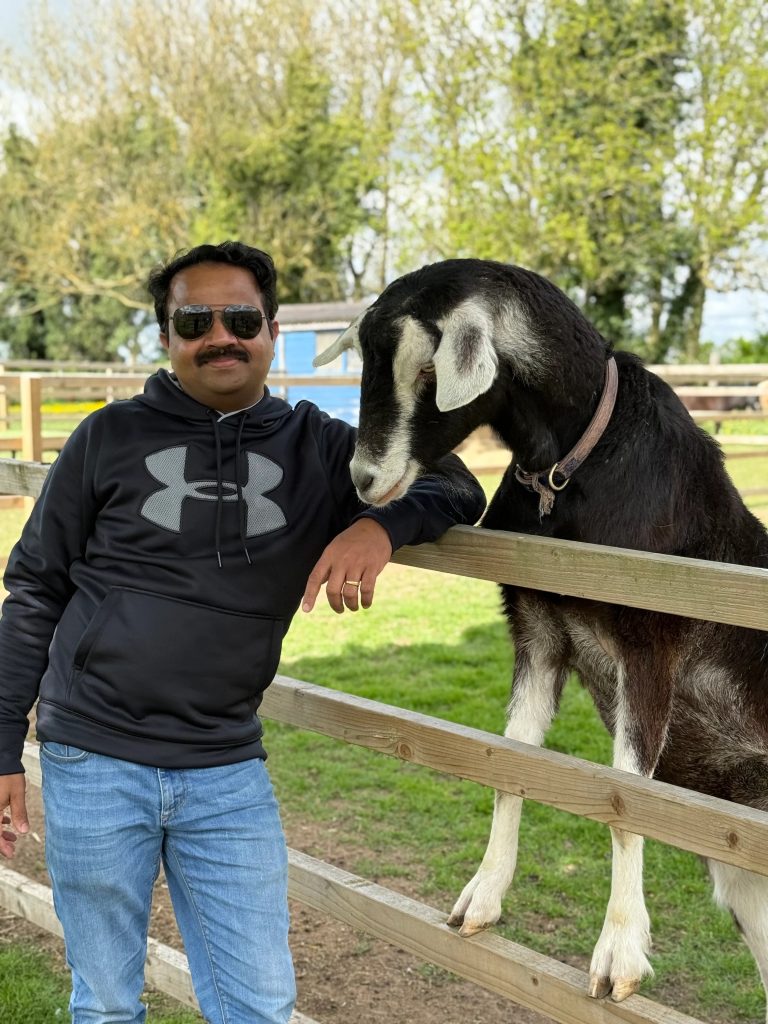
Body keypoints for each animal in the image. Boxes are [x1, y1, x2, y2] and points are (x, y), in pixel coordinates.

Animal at [315, 258, 768, 1013]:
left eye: (428, 370)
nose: (365, 479)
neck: (571, 468)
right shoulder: (537, 630)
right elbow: (512, 763)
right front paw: (480, 899)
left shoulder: (651, 640)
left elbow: (626, 797)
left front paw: (618, 956)